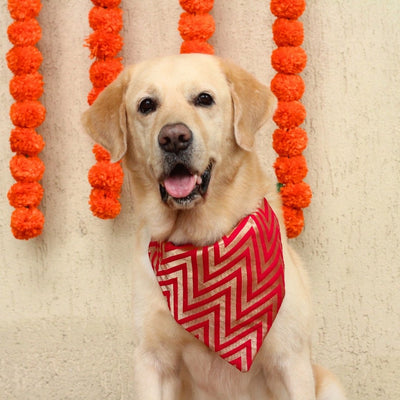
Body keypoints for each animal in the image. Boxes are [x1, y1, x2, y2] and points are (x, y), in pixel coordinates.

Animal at [81, 54, 344, 400]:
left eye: (204, 99)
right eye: (147, 105)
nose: (173, 138)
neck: (200, 241)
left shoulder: (290, 360)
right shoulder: (153, 360)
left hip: (328, 382)